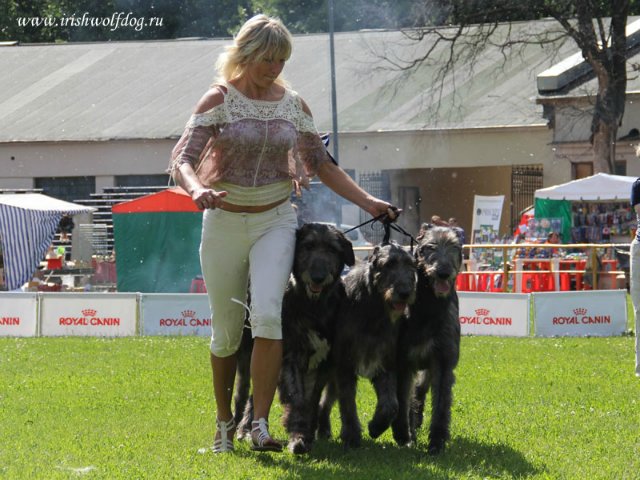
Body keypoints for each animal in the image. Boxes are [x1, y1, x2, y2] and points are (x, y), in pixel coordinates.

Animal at [318, 244, 418, 450]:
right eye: (388, 264)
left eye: (411, 265)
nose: (405, 292)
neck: (374, 308)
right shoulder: (345, 366)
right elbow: (348, 403)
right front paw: (351, 436)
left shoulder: (384, 363)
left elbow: (391, 405)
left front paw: (376, 426)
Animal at [392, 225, 462, 454]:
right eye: (430, 247)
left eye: (454, 247)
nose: (443, 272)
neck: (429, 307)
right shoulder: (403, 362)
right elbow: (403, 399)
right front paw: (405, 436)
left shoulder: (442, 361)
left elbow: (441, 404)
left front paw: (437, 441)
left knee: (420, 390)